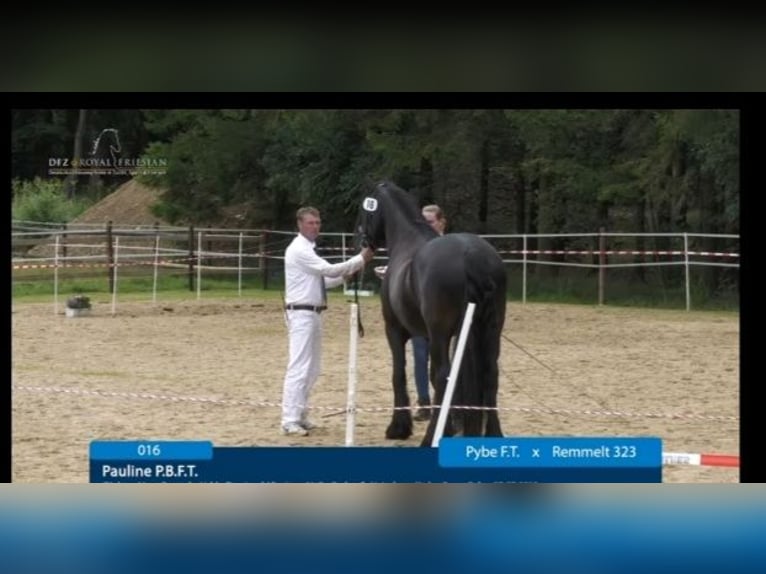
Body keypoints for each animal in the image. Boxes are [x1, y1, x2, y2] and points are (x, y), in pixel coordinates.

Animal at [358, 182, 510, 448]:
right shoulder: (429, 336)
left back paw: (430, 438)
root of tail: (472, 255)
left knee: (443, 376)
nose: (363, 240)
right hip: (491, 329)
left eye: (366, 210)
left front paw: (398, 428)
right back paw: (493, 434)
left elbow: (399, 373)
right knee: (490, 374)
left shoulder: (395, 330)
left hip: (442, 333)